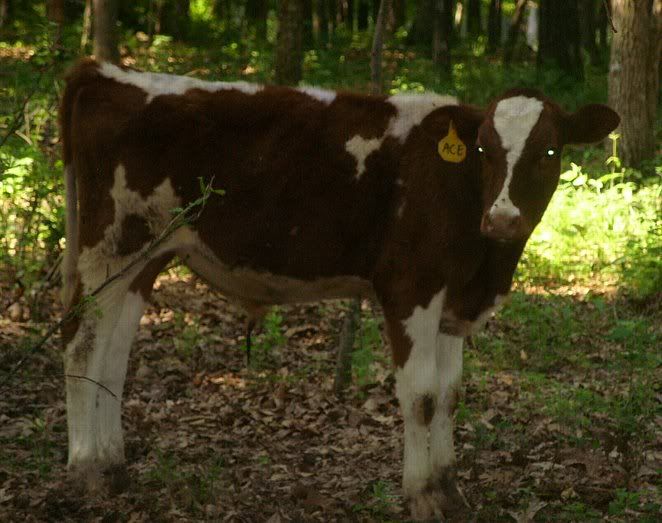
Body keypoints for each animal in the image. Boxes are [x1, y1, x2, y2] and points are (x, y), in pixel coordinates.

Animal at [59, 58, 619, 520]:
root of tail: (105, 72)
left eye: (549, 150)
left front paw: (450, 492)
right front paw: (422, 497)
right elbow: (421, 395)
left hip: (145, 260)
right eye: (483, 149)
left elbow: (449, 394)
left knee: (113, 354)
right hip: (109, 246)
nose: (502, 219)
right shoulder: (409, 289)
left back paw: (112, 466)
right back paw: (86, 471)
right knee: (80, 342)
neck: (485, 264)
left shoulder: (452, 302)